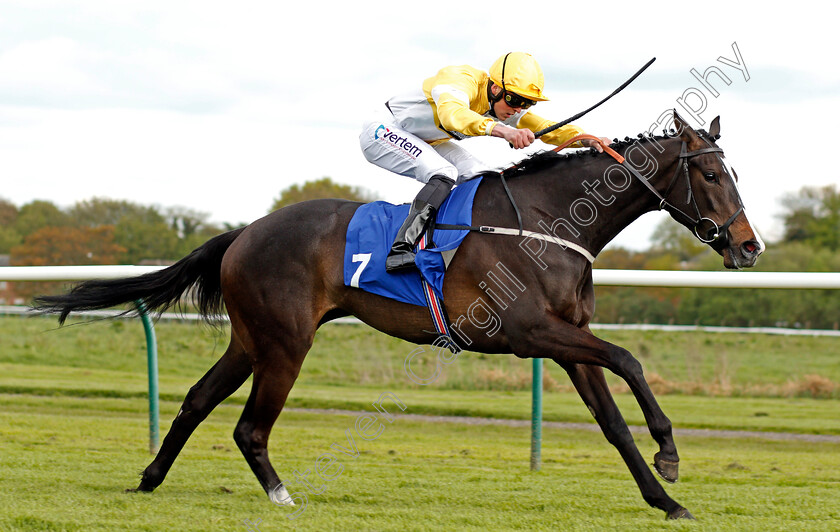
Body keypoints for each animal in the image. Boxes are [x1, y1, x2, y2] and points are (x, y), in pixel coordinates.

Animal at [36, 111, 764, 520]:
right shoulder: (530, 332)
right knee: (248, 426)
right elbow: (628, 358)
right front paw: (669, 451)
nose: (748, 245)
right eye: (711, 175)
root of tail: (244, 231)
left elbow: (611, 419)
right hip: (285, 342)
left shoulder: (564, 340)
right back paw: (281, 496)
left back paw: (148, 481)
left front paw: (666, 499)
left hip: (251, 338)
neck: (549, 222)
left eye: (733, 173)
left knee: (195, 401)